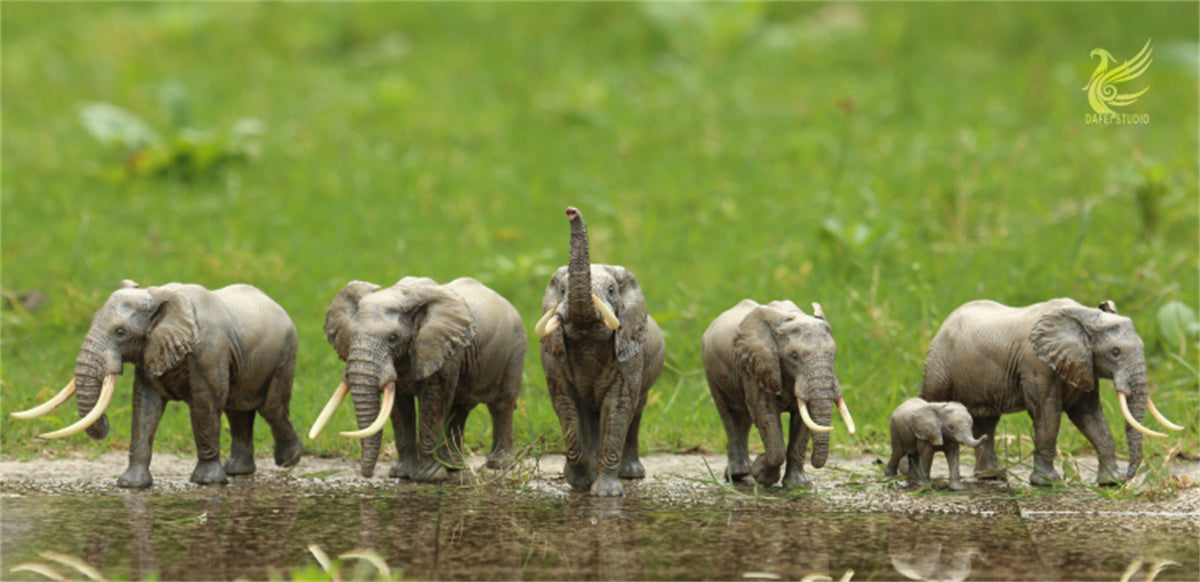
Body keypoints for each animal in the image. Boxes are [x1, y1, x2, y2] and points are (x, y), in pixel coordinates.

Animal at [12, 280, 303, 488]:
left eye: (121, 333)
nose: (106, 425)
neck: (158, 295)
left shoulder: (209, 353)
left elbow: (206, 404)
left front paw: (206, 482)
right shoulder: (149, 352)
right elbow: (145, 406)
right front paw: (131, 485)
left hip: (285, 354)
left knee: (271, 407)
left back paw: (288, 460)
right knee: (238, 410)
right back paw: (238, 471)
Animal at [310, 276, 525, 481]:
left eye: (393, 338)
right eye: (350, 336)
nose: (366, 476)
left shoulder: (444, 353)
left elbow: (432, 403)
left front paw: (430, 477)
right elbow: (400, 408)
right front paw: (401, 474)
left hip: (515, 351)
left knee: (501, 406)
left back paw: (499, 464)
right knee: (459, 408)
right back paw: (453, 466)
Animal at [534, 206, 665, 497]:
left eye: (611, 290)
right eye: (562, 290)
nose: (571, 211)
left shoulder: (630, 354)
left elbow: (619, 405)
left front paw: (606, 493)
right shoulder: (553, 356)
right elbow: (565, 404)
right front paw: (578, 480)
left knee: (635, 410)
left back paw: (630, 474)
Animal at [701, 299, 856, 487]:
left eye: (833, 354)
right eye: (794, 356)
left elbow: (803, 421)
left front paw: (798, 485)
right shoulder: (756, 367)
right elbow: (766, 414)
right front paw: (760, 472)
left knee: (743, 417)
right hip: (713, 373)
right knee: (731, 415)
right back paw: (738, 475)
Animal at [920, 298, 1183, 486]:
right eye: (1115, 352)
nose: (1127, 476)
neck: (1084, 315)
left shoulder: (1083, 365)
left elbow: (1090, 417)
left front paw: (1110, 482)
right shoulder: (1036, 364)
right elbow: (1047, 414)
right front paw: (1048, 483)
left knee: (987, 422)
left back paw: (992, 477)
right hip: (939, 365)